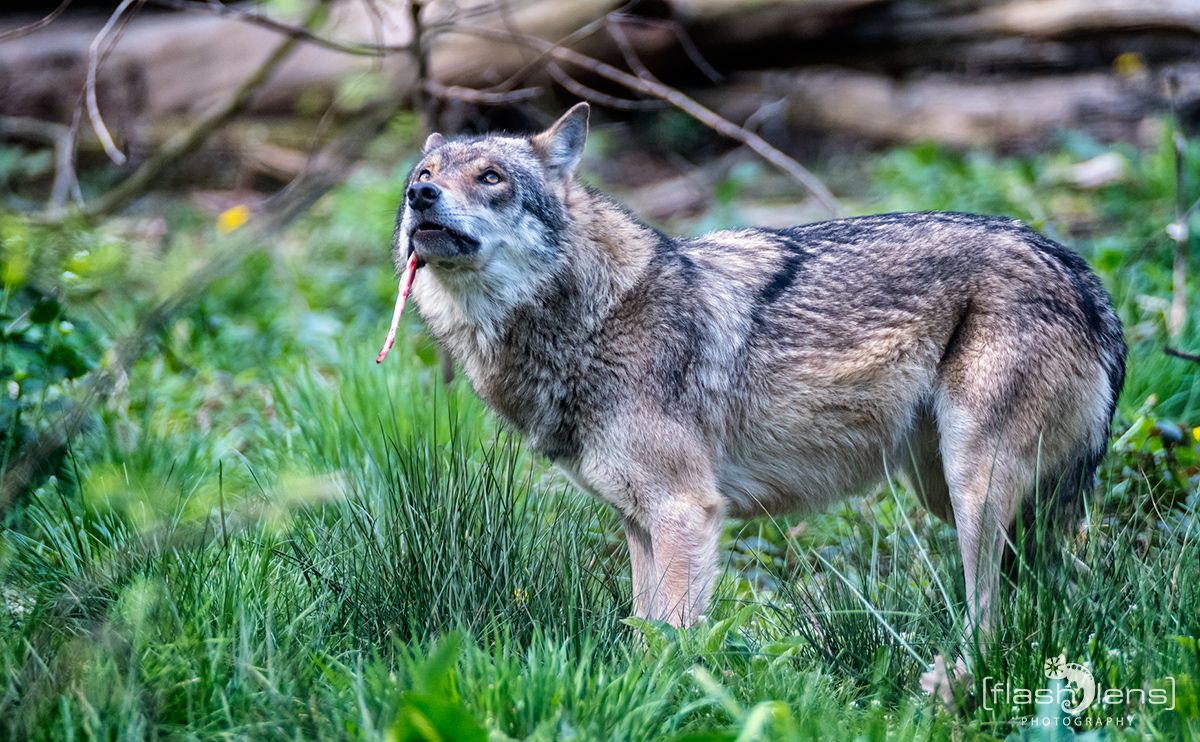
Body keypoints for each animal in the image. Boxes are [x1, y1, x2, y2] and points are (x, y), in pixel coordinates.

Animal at [391, 100, 1123, 686]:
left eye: (491, 177)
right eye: (423, 175)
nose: (419, 197)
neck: (592, 316)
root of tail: (1079, 270)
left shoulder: (684, 511)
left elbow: (673, 637)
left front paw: (670, 699)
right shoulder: (638, 521)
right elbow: (642, 629)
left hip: (974, 485)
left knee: (994, 617)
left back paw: (956, 676)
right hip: (947, 488)